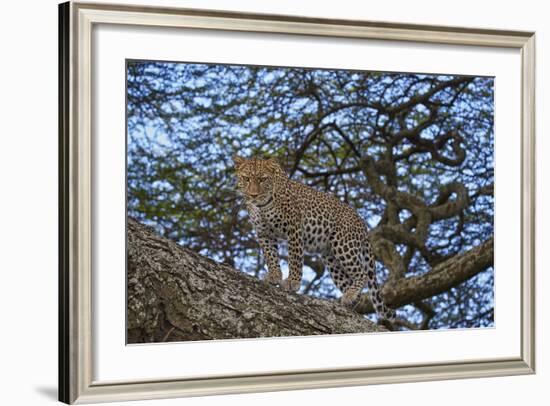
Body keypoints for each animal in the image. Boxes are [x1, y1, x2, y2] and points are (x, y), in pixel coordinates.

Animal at [233, 154, 396, 322]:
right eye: (246, 178)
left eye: (262, 179)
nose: (253, 195)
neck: (261, 205)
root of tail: (362, 222)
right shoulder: (263, 233)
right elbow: (270, 256)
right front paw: (274, 276)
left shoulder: (294, 228)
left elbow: (294, 259)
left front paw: (292, 283)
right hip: (330, 258)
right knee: (349, 281)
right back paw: (349, 301)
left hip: (343, 244)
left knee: (362, 273)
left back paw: (350, 295)